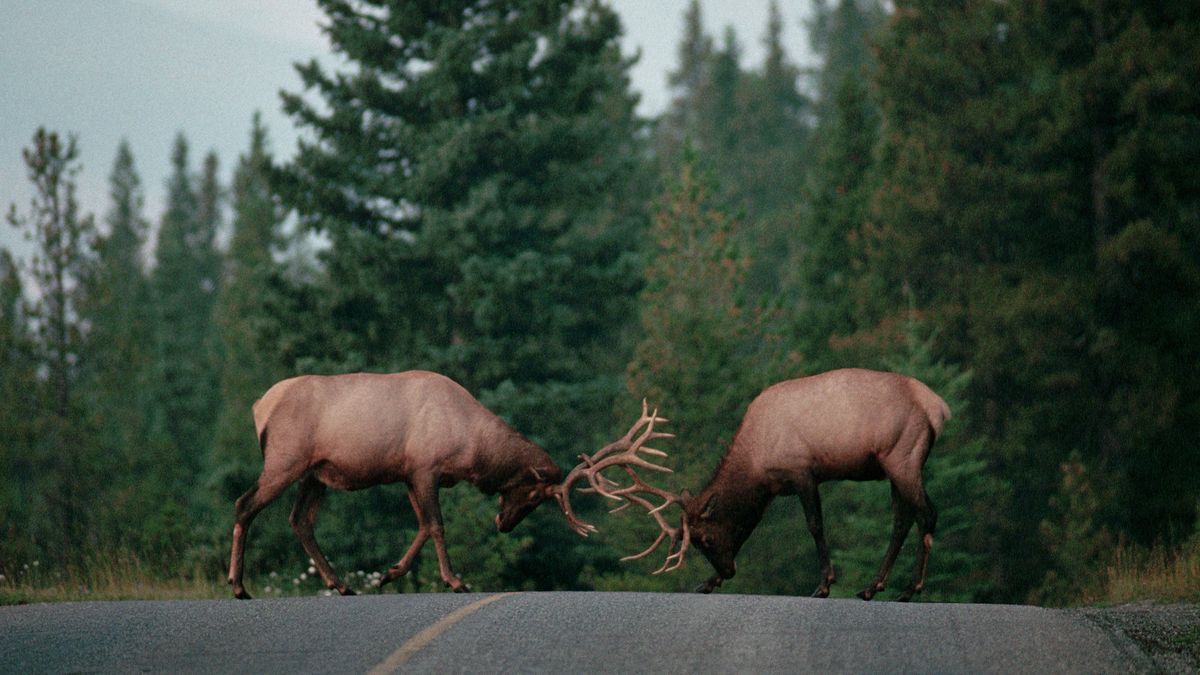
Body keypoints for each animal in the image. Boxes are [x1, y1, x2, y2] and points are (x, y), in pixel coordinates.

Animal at [228, 369, 624, 595]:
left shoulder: (409, 474)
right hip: (284, 460)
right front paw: (456, 581)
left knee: (300, 521)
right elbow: (436, 525)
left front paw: (389, 575)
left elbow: (421, 525)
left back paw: (340, 584)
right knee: (244, 504)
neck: (470, 446)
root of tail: (259, 407)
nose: (504, 524)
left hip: (314, 473)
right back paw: (238, 585)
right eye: (532, 494)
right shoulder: (424, 468)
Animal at [566, 367, 950, 598]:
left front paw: (824, 584)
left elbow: (815, 525)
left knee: (927, 514)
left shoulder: (802, 471)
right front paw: (707, 583)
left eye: (704, 538)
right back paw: (872, 587)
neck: (755, 461)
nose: (726, 569)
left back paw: (910, 589)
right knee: (902, 520)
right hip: (892, 465)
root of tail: (938, 408)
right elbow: (747, 528)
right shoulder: (770, 492)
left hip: (903, 456)